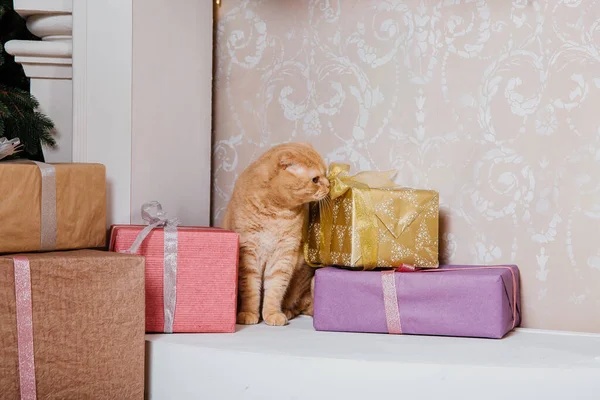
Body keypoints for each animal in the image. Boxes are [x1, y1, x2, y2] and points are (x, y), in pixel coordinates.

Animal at [223, 143, 330, 324]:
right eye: (315, 179)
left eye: (326, 174)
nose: (329, 185)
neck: (276, 213)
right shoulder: (249, 253)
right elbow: (250, 290)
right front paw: (248, 313)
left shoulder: (283, 254)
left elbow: (275, 288)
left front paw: (272, 313)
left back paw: (287, 311)